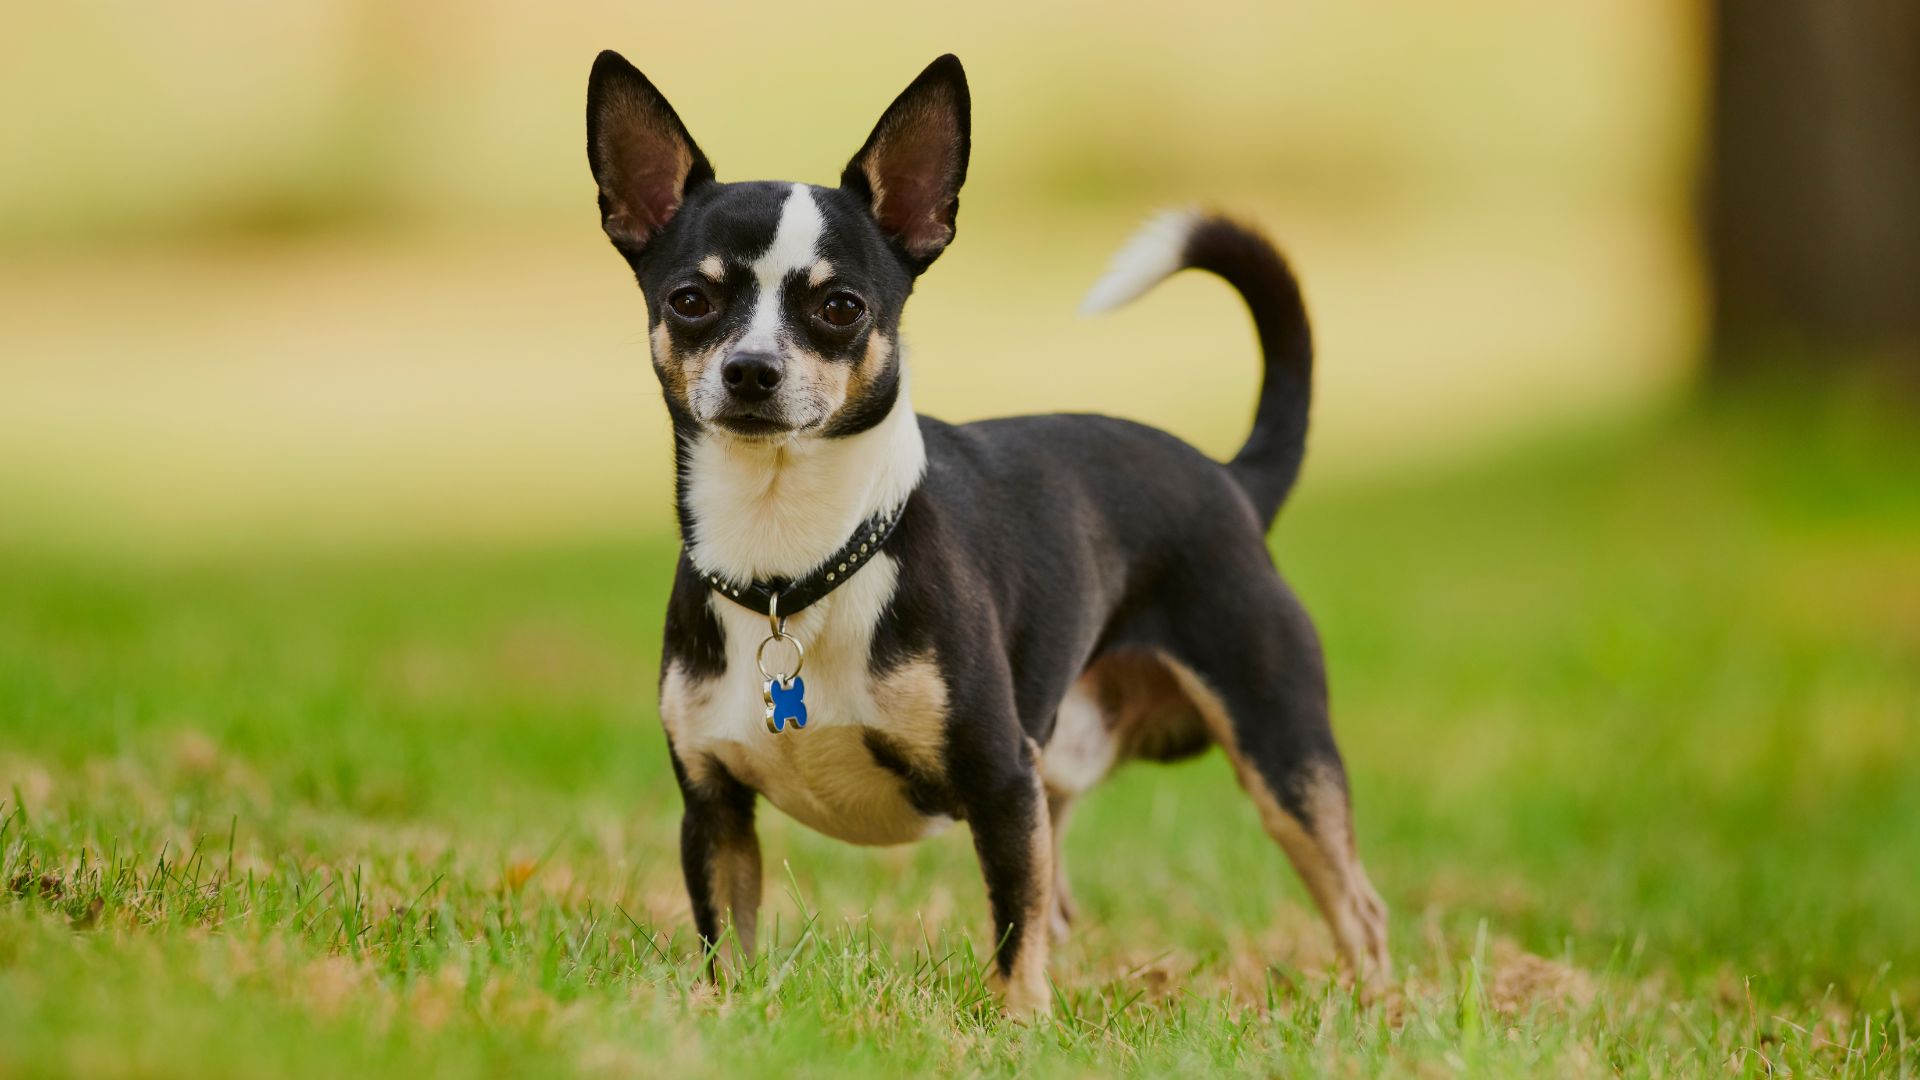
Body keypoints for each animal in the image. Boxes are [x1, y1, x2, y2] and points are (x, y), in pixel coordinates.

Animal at [576, 48, 1390, 1006]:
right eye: (691, 300)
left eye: (842, 307)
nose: (750, 370)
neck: (791, 567)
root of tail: (1230, 479)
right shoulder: (714, 811)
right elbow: (726, 946)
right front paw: (725, 1016)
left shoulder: (1002, 786)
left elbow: (1012, 938)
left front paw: (1019, 1023)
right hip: (1067, 768)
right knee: (1064, 904)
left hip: (1279, 751)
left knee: (1358, 909)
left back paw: (1378, 1013)